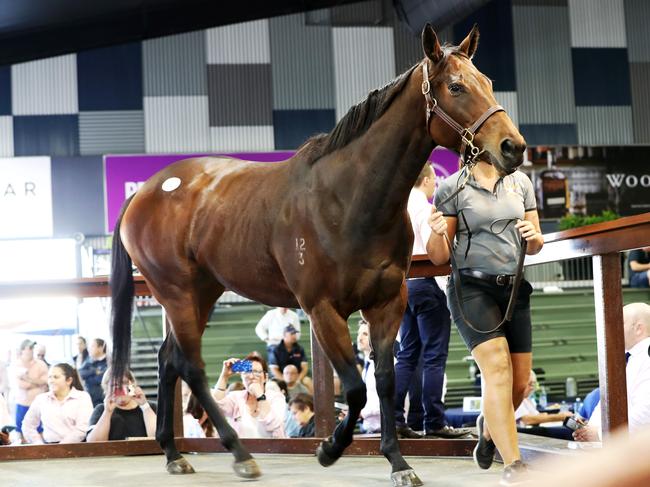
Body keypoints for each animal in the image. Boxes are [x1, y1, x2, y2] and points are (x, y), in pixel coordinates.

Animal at [110, 24, 528, 486]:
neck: (347, 199)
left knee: (169, 360)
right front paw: (329, 449)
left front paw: (398, 462)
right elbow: (356, 389)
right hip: (178, 294)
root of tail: (144, 193)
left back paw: (172, 452)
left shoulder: (388, 304)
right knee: (192, 367)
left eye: (487, 81)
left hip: (202, 293)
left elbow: (384, 381)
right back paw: (239, 454)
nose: (513, 146)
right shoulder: (322, 310)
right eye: (455, 86)